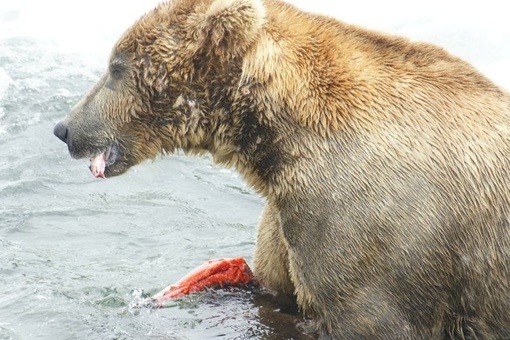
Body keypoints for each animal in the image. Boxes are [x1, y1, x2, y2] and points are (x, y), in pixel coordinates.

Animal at [52, 0, 510, 338]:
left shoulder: (368, 227)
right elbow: (274, 290)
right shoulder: (287, 214)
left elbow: (365, 315)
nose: (64, 128)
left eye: (116, 67)